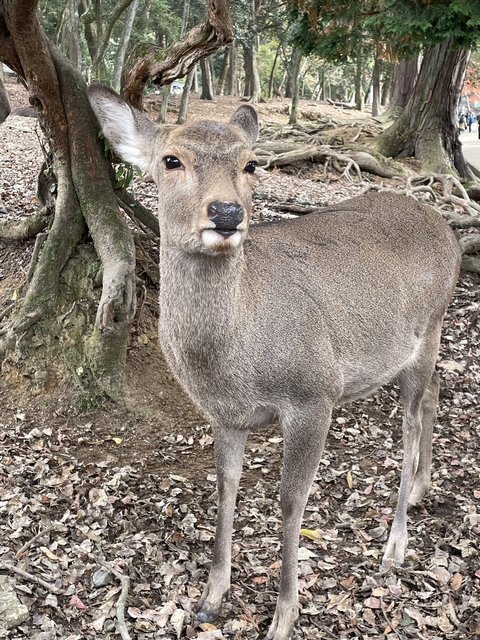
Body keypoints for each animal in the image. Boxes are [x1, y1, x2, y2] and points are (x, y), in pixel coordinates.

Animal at [88, 84, 462, 640]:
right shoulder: (225, 414)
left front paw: (284, 617)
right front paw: (211, 598)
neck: (235, 362)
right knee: (436, 392)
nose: (226, 213)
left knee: (412, 423)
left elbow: (290, 501)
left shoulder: (314, 394)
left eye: (250, 164)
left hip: (429, 328)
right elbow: (226, 486)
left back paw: (394, 546)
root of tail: (450, 230)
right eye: (171, 160)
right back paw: (420, 490)